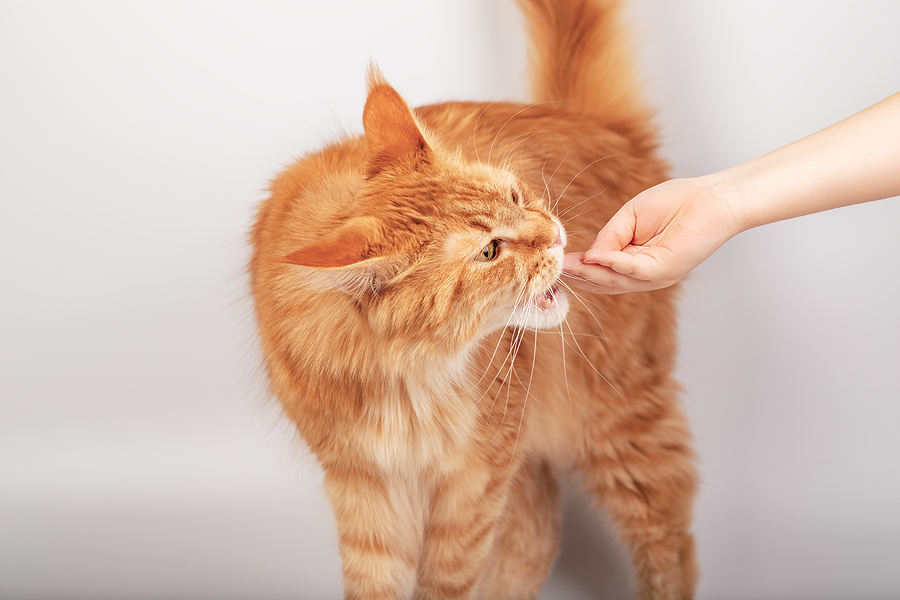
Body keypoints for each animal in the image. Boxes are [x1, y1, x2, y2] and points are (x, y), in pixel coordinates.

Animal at [250, 1, 700, 600]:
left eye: (514, 194)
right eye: (489, 252)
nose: (556, 236)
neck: (405, 379)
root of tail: (588, 120)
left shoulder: (478, 476)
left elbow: (447, 578)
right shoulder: (365, 484)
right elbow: (377, 581)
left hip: (616, 414)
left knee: (666, 529)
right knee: (536, 534)